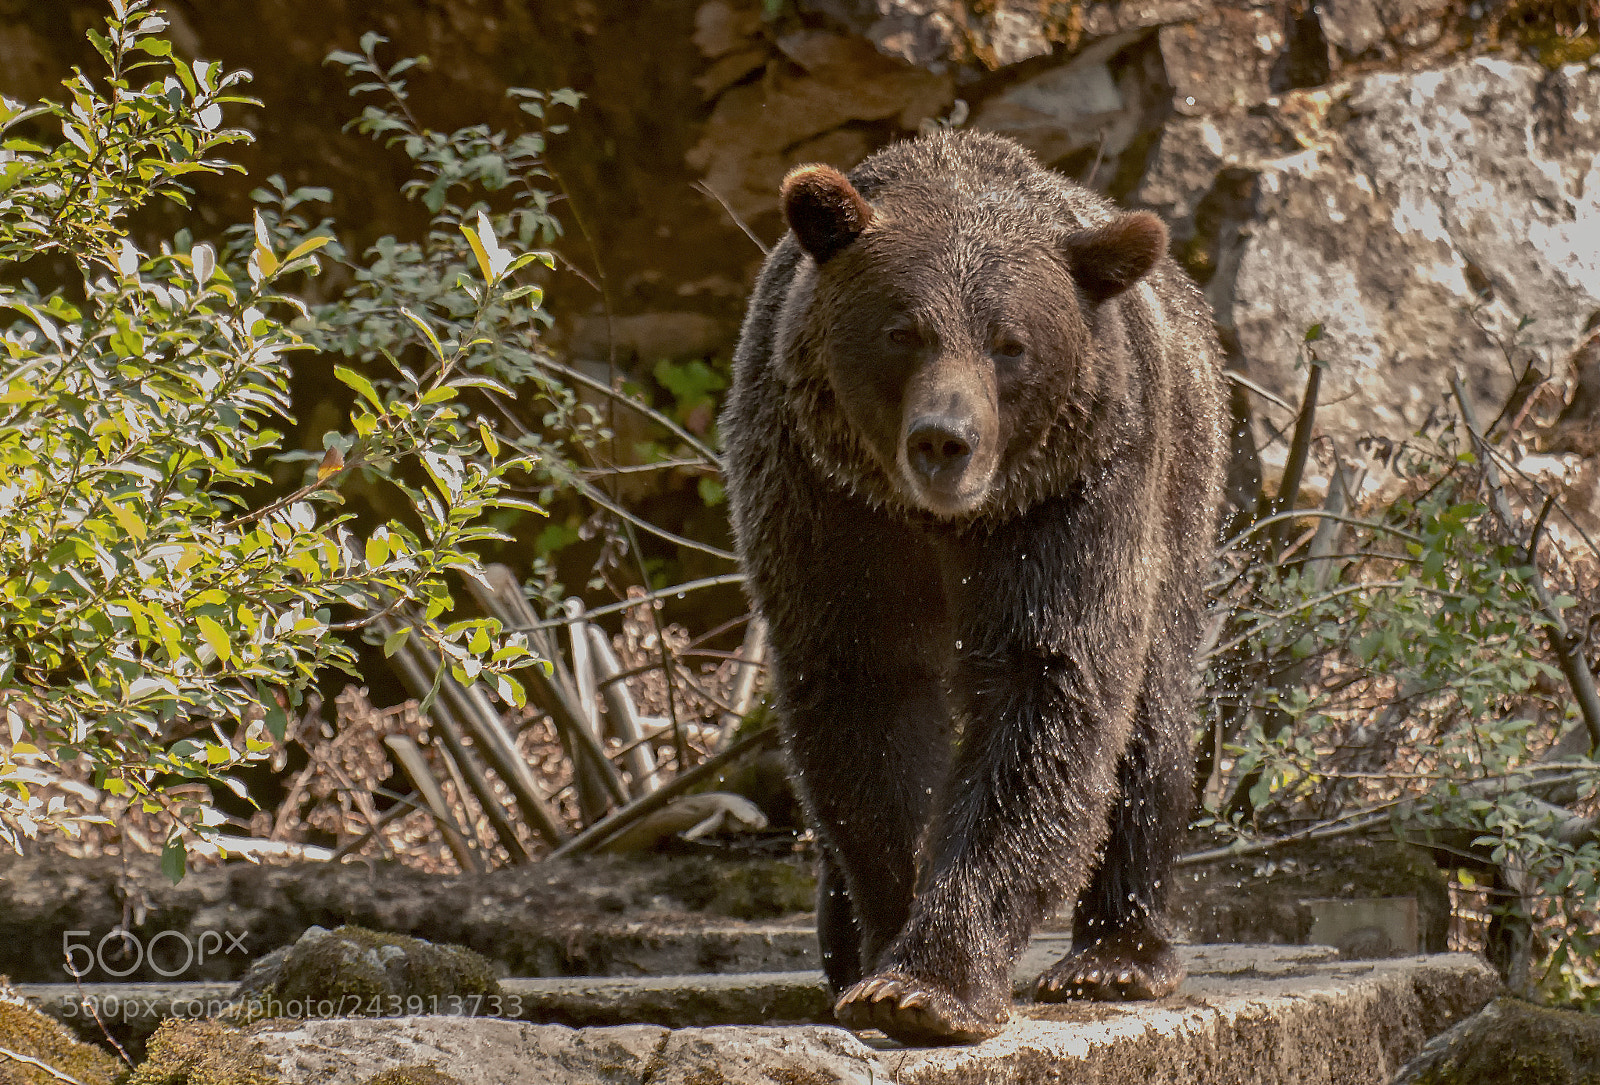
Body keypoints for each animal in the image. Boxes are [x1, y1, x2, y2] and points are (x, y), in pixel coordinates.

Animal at [719, 128, 1227, 1046]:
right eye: (903, 331)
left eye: (1008, 342)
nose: (944, 440)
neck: (939, 522)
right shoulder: (824, 498)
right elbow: (865, 704)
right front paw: (883, 950)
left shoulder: (1070, 496)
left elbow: (1045, 688)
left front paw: (928, 982)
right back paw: (839, 944)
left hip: (1182, 483)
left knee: (1151, 714)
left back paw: (1117, 953)